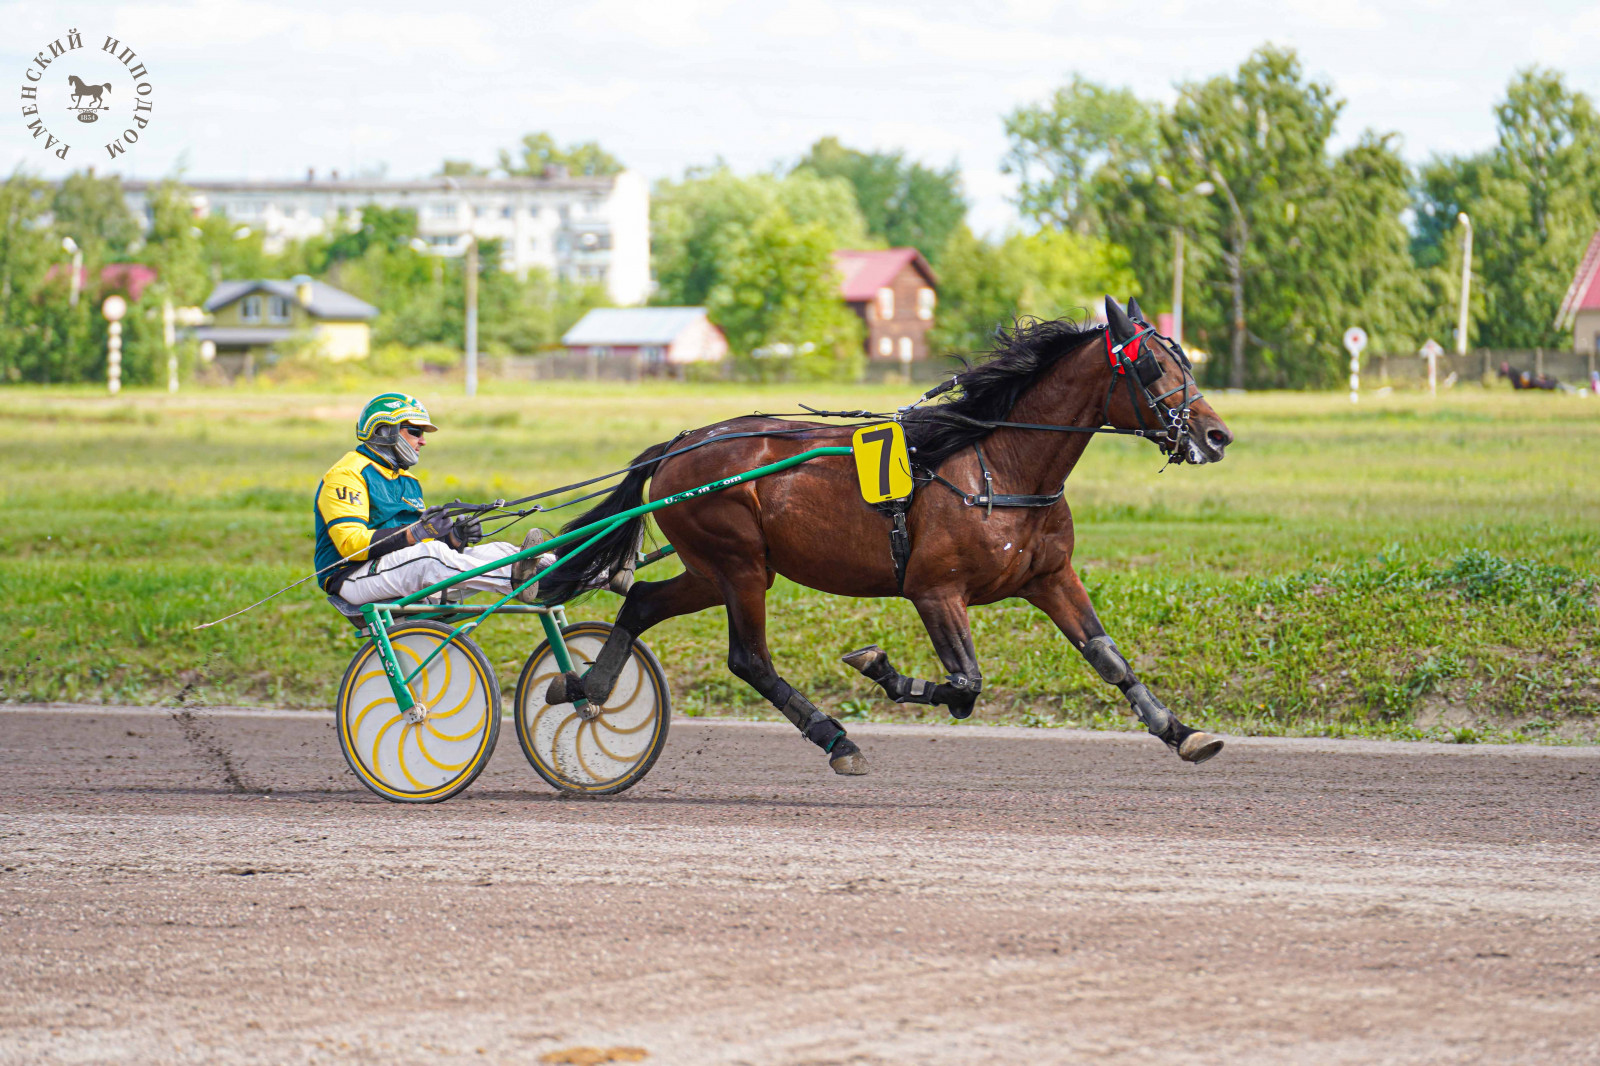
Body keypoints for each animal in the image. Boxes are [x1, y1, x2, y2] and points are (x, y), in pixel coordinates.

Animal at [528, 296, 1235, 771]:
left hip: (714, 569)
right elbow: (966, 685)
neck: (1000, 466)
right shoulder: (934, 590)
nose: (1216, 434)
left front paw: (1180, 731)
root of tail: (679, 445)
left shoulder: (1050, 577)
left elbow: (1107, 656)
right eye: (1151, 366)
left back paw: (585, 686)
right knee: (749, 658)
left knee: (644, 602)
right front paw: (882, 669)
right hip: (738, 565)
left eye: (1184, 357)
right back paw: (835, 737)